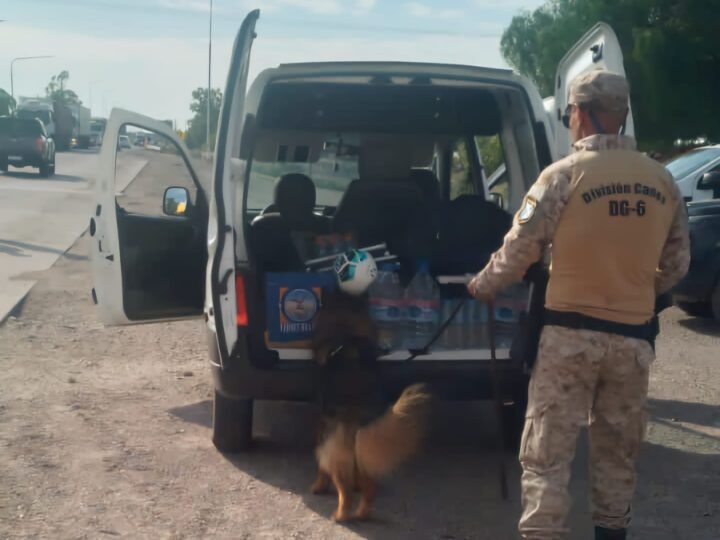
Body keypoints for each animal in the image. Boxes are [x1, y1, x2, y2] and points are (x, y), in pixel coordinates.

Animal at [310, 288, 434, 520]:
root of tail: (358, 417)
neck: (346, 329)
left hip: (333, 452)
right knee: (370, 488)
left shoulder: (321, 426)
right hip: (361, 451)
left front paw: (319, 486)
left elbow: (321, 472)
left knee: (345, 492)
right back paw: (363, 513)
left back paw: (341, 515)